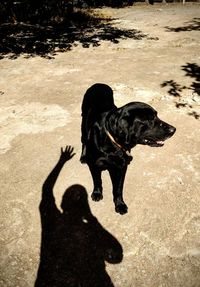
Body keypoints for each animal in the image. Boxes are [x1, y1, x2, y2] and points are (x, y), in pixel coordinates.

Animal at [80, 84, 176, 215]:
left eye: (156, 116)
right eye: (149, 119)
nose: (173, 129)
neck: (112, 142)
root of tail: (98, 84)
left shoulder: (122, 166)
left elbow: (118, 188)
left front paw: (120, 204)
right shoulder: (94, 164)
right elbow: (97, 180)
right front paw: (97, 193)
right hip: (84, 124)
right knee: (83, 140)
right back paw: (83, 156)